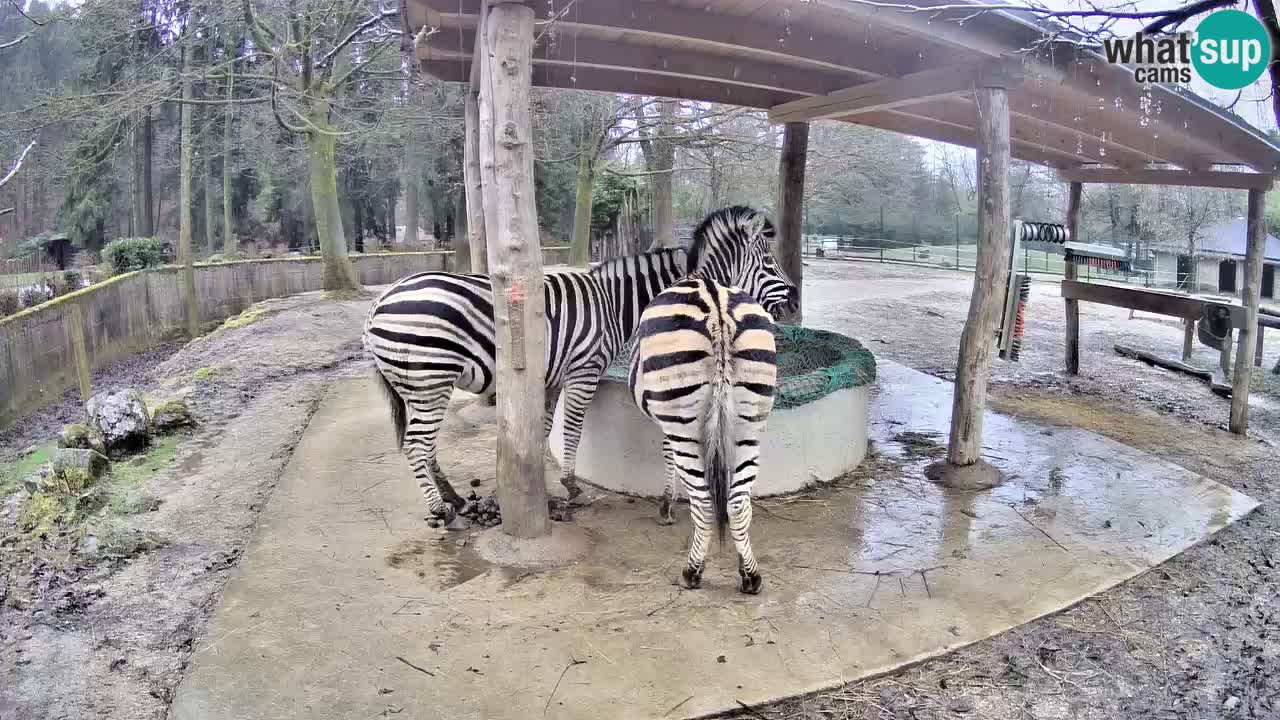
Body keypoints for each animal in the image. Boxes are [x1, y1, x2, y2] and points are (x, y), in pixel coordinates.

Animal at [355, 204, 783, 525]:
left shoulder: (551, 378)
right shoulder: (584, 372)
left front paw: (543, 483)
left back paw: (455, 498)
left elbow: (543, 431)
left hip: (418, 387)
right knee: (416, 444)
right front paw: (573, 487)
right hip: (430, 379)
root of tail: (377, 304)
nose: (793, 299)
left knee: (424, 445)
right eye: (768, 263)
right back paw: (439, 509)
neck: (613, 304)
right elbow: (573, 430)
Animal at [627, 206, 793, 594]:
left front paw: (666, 507)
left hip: (685, 421)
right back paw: (750, 574)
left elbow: (668, 456)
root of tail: (716, 304)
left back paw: (692, 571)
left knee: (704, 499)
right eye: (768, 260)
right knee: (738, 501)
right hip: (749, 421)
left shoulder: (668, 419)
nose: (795, 301)